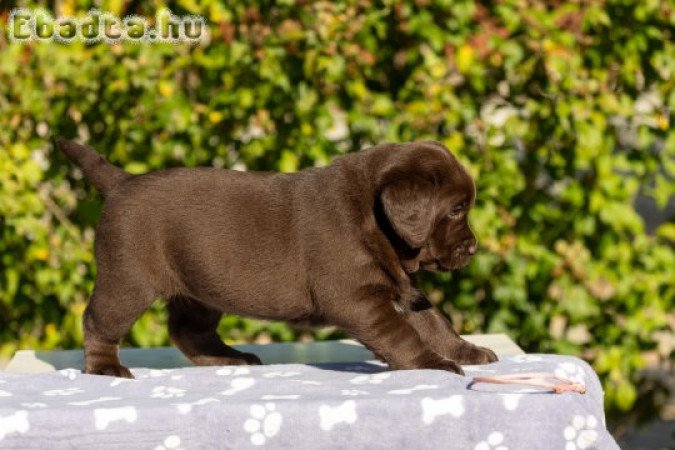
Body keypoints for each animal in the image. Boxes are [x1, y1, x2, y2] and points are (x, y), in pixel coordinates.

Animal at [56, 139, 496, 378]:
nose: (473, 246)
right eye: (457, 209)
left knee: (187, 330)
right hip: (129, 278)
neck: (374, 218)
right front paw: (431, 364)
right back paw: (105, 368)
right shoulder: (358, 299)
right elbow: (402, 334)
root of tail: (122, 182)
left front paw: (465, 351)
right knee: (99, 321)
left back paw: (229, 358)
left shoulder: (402, 286)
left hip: (201, 286)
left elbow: (432, 322)